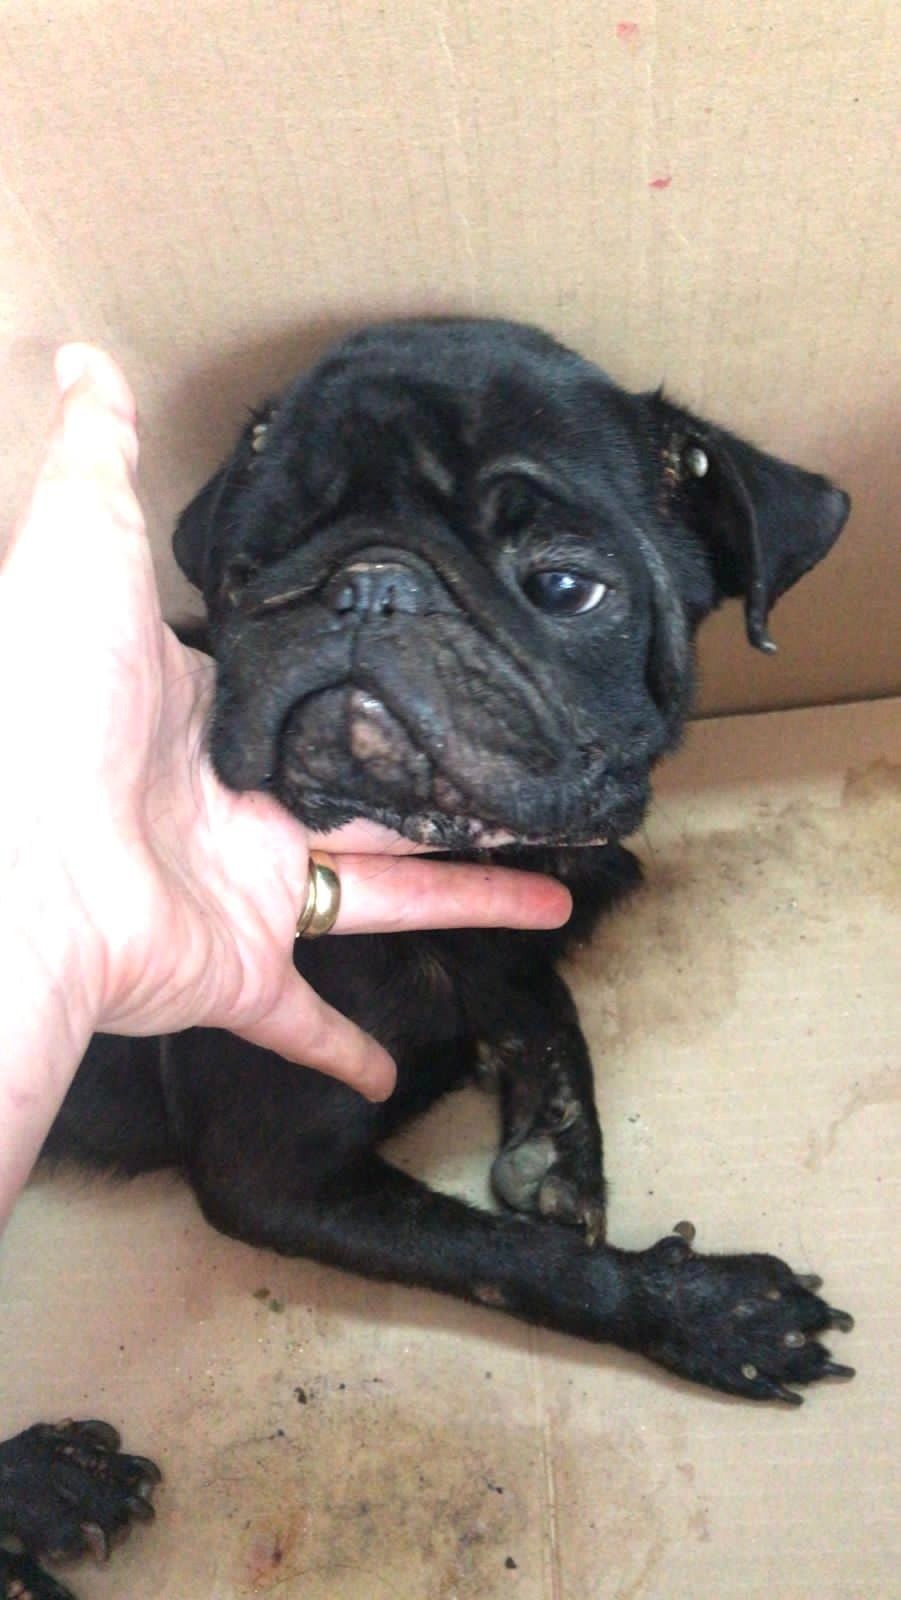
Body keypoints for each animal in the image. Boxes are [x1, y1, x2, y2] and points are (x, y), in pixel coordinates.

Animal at [1, 318, 857, 1593]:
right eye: (244, 572)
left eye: (563, 584)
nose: (369, 585)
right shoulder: (279, 1173)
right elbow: (517, 1259)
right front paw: (696, 1307)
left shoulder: (510, 928)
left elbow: (537, 999)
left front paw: (556, 1145)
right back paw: (43, 1489)